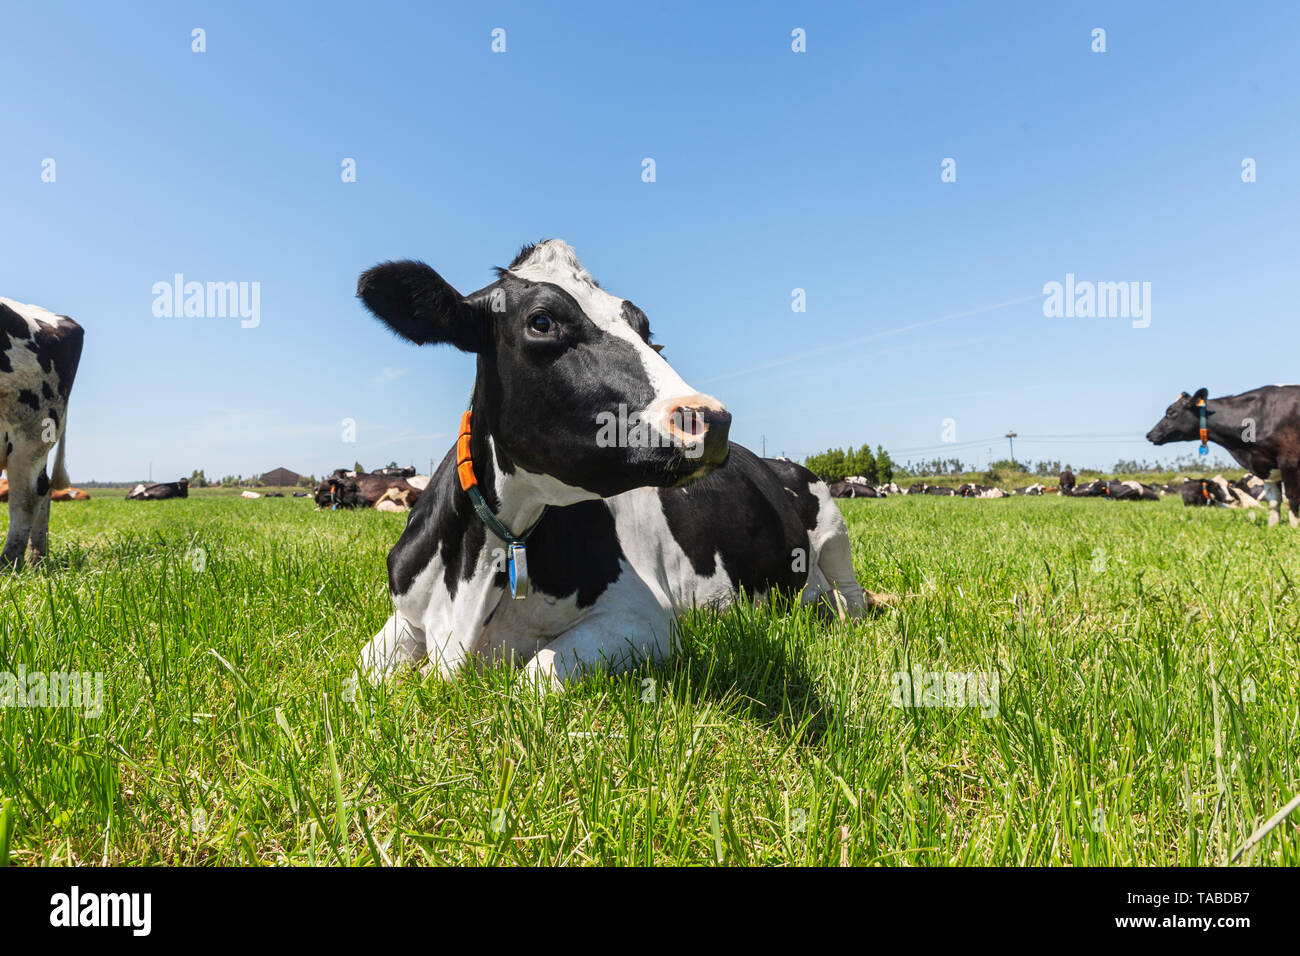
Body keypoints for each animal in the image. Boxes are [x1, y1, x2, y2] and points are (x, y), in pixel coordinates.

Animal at [352, 240, 884, 691]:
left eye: (646, 330)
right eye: (542, 321)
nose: (710, 418)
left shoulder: (647, 621)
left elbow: (534, 677)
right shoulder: (405, 615)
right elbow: (355, 680)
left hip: (834, 532)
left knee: (851, 600)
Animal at [1147, 386, 1300, 527]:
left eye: (1171, 412)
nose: (1149, 434)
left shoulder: (1289, 461)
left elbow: (1291, 498)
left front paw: (1294, 527)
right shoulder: (1265, 465)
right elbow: (1274, 500)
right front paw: (1272, 527)